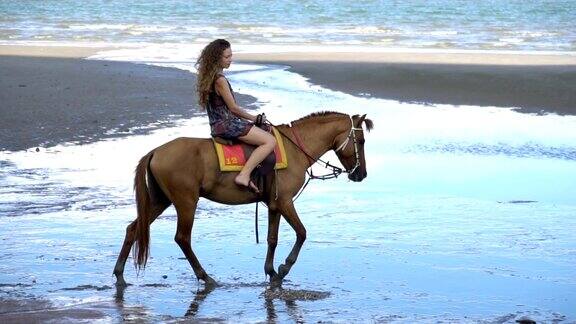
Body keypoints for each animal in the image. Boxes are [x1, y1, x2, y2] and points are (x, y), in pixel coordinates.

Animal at [112, 111, 374, 286]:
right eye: (360, 141)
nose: (361, 174)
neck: (295, 149)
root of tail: (156, 151)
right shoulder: (285, 202)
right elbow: (301, 233)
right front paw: (284, 268)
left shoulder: (274, 205)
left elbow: (272, 239)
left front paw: (271, 272)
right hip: (186, 201)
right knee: (182, 238)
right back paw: (205, 276)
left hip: (160, 200)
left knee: (133, 229)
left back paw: (119, 274)